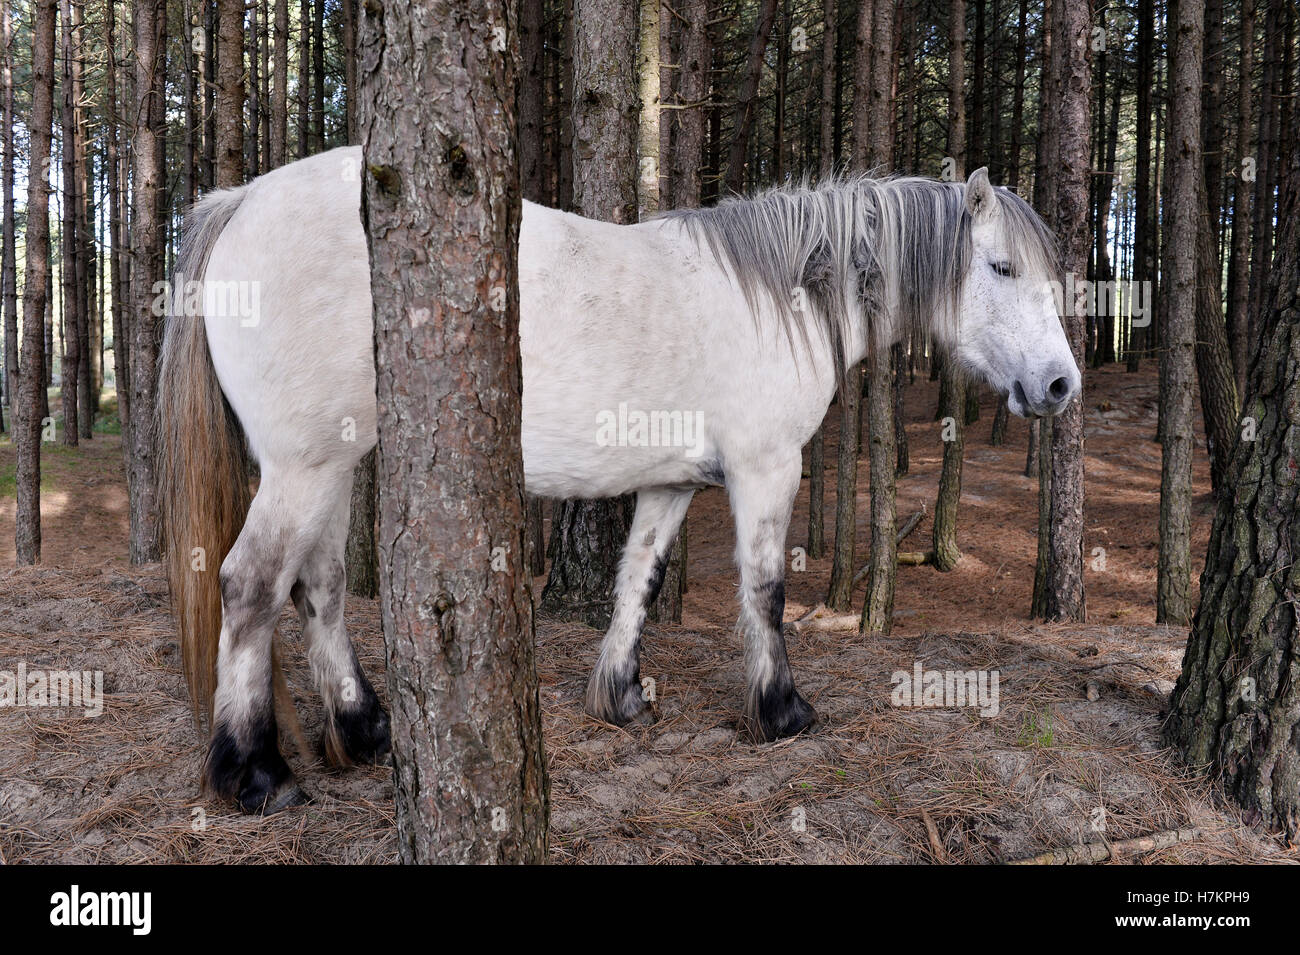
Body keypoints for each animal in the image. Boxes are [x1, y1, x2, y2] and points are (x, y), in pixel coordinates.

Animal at [157, 149, 1081, 815]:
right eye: (1001, 268)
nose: (1061, 384)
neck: (778, 296)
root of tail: (241, 202)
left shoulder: (673, 482)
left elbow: (639, 578)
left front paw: (622, 694)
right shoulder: (765, 468)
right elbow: (766, 591)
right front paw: (781, 711)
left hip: (336, 465)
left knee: (317, 586)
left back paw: (363, 726)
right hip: (305, 466)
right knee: (249, 587)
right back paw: (255, 773)